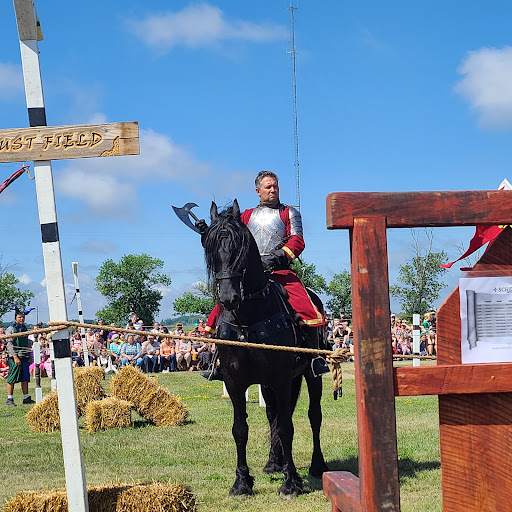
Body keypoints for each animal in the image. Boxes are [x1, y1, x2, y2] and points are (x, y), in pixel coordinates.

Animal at [201, 201, 328, 500]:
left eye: (240, 249)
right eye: (210, 249)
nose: (228, 298)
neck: (249, 317)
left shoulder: (281, 379)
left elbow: (287, 426)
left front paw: (291, 483)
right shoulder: (235, 383)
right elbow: (241, 429)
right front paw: (241, 482)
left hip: (309, 375)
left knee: (313, 416)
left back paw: (316, 465)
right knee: (273, 415)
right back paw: (274, 462)